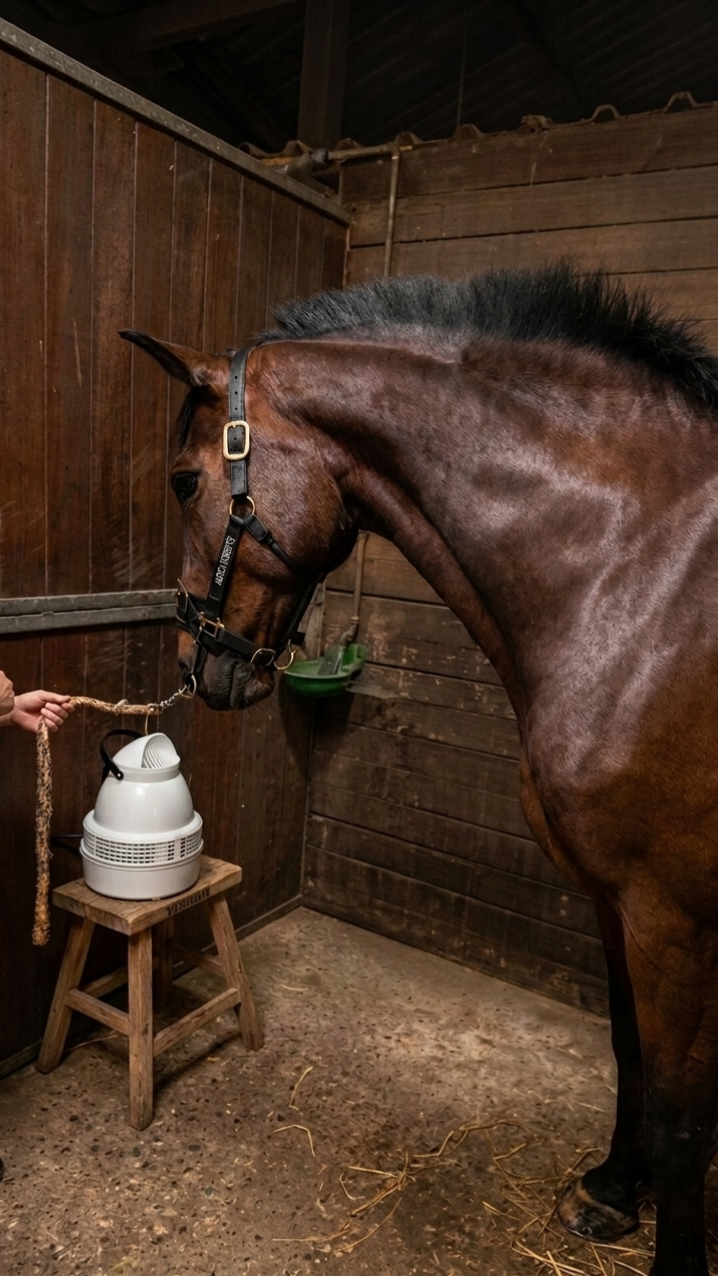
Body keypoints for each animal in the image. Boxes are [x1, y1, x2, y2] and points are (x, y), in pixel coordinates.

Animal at [122, 262, 718, 1276]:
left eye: (185, 478)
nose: (195, 664)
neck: (642, 578)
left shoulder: (669, 913)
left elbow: (684, 1117)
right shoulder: (617, 902)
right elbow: (630, 1047)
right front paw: (610, 1190)